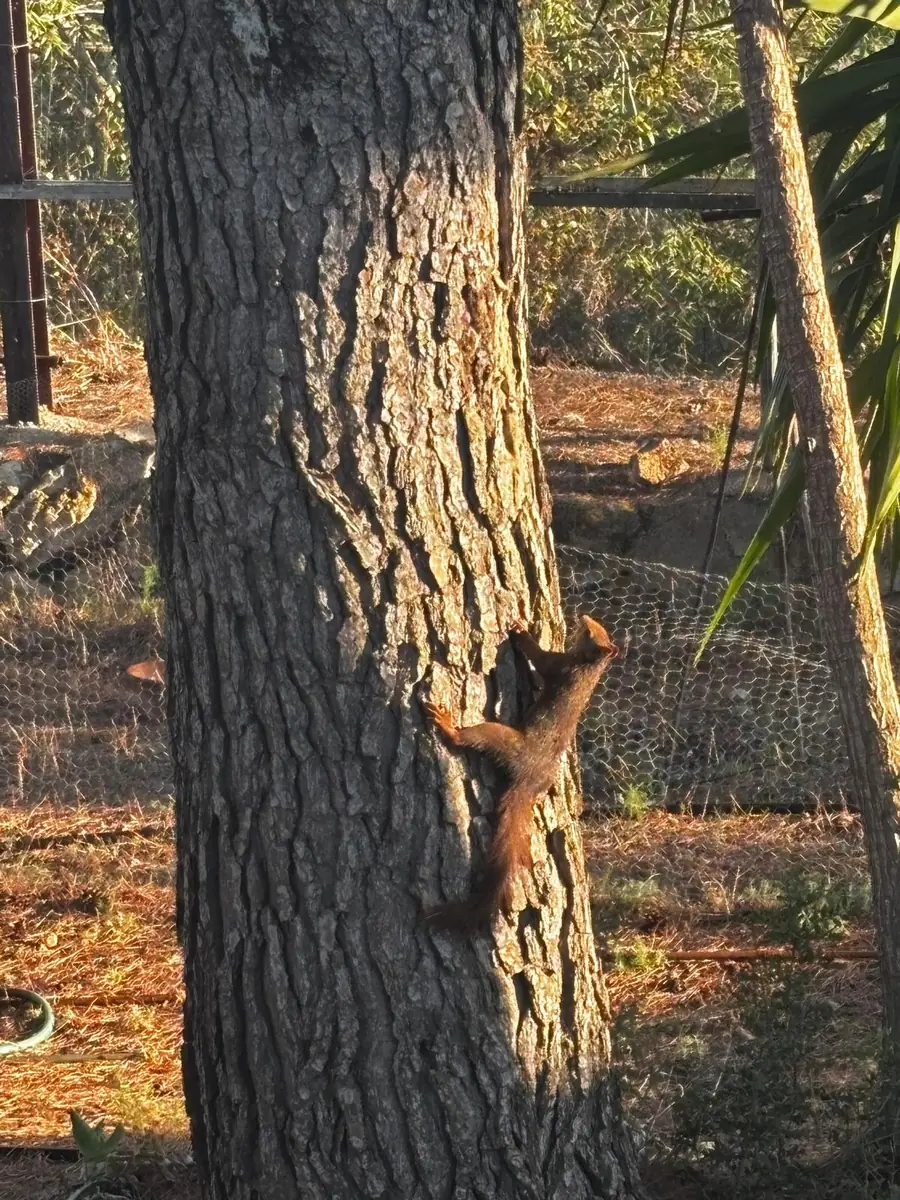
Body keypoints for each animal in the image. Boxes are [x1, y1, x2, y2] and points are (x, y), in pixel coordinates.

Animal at [424, 614, 618, 932]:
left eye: (591, 632)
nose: (584, 618)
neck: (589, 668)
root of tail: (528, 780)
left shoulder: (558, 666)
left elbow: (537, 656)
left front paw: (520, 630)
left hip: (502, 739)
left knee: (470, 738)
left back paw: (446, 725)